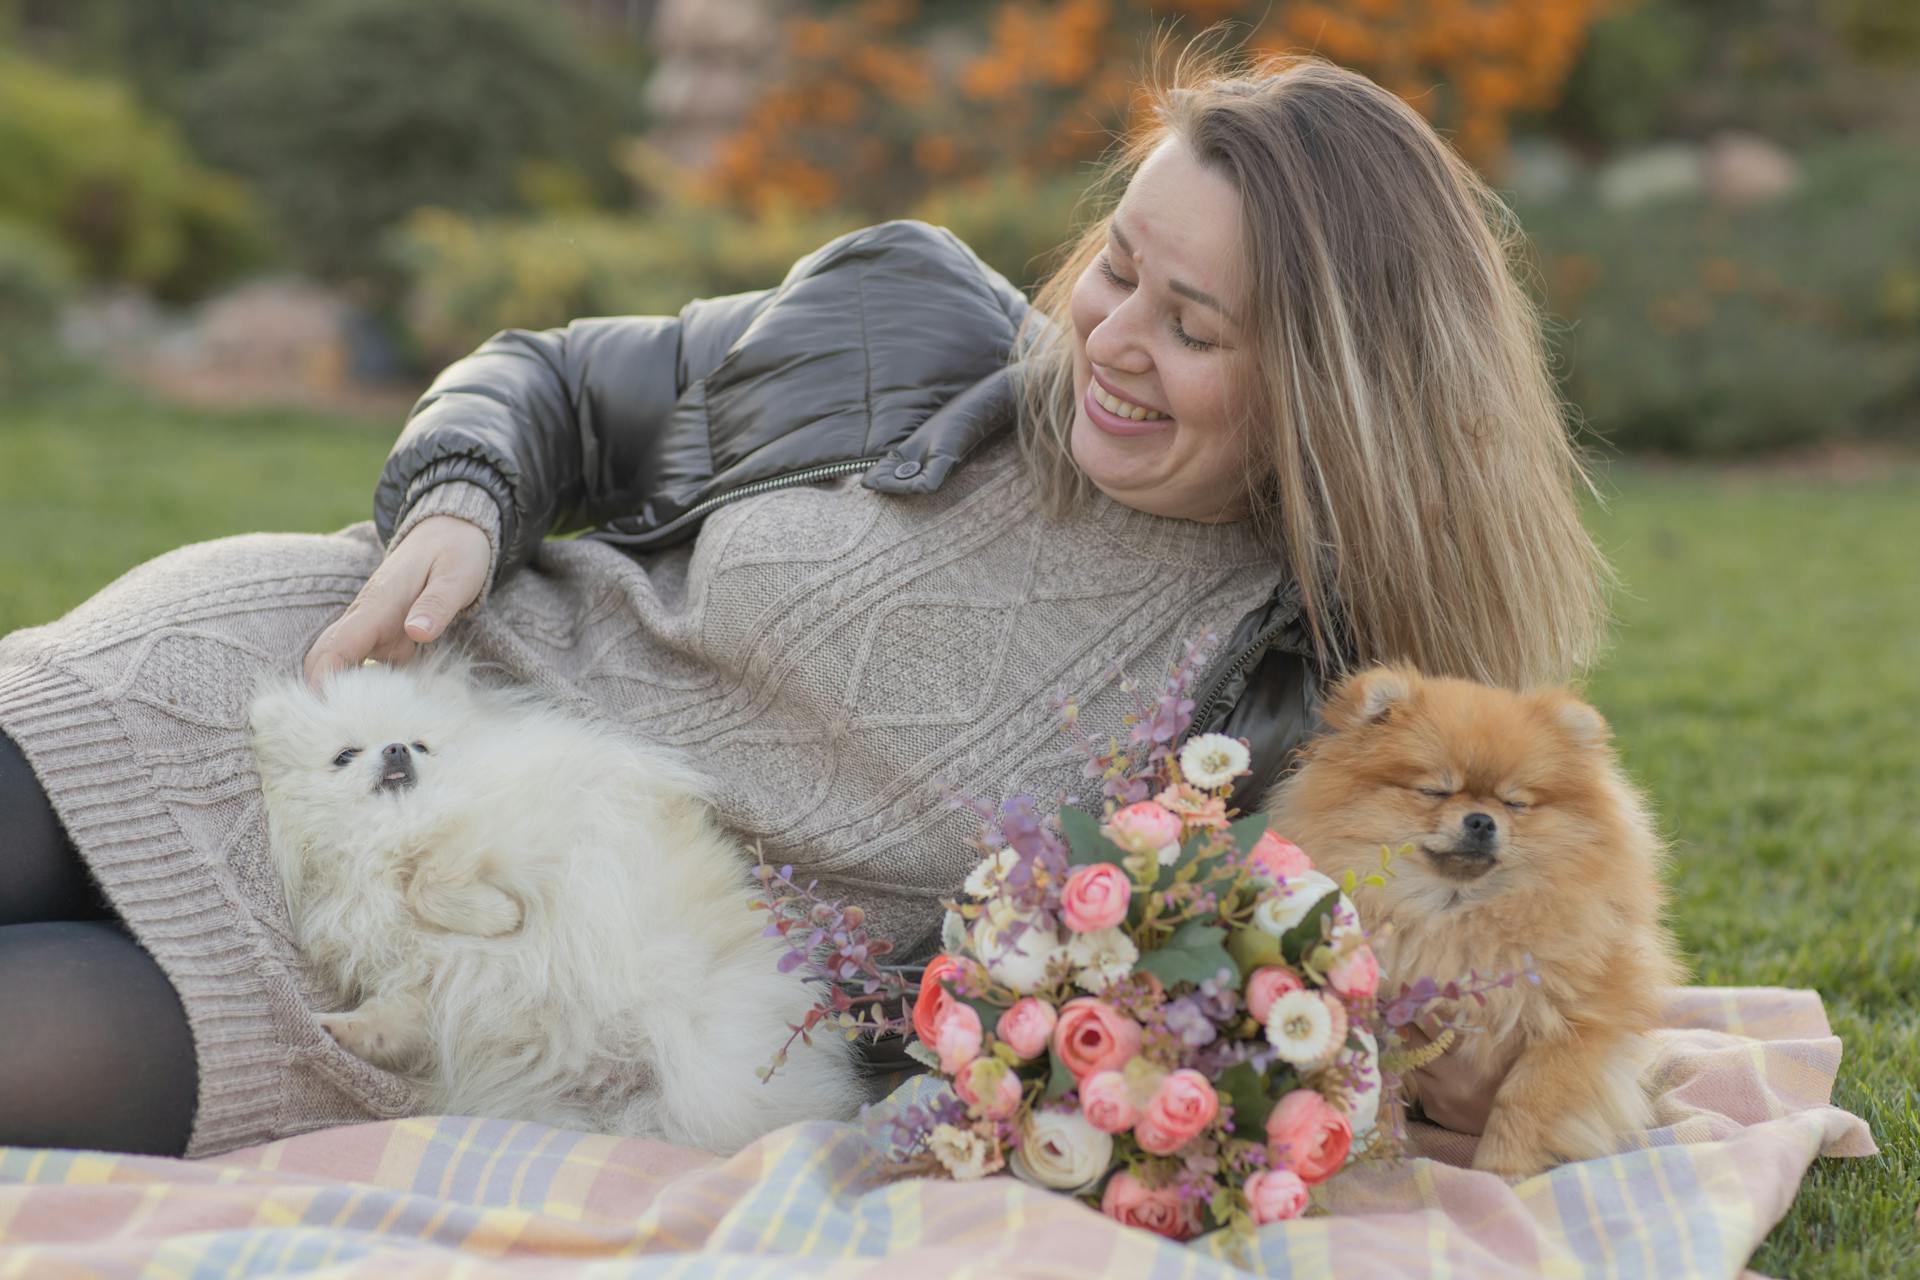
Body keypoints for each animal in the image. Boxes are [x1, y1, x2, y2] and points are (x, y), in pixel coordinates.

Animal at [245, 652, 864, 1151]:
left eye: (421, 744)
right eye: (344, 755)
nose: (397, 749)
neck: (377, 837)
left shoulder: (513, 831)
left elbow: (437, 875)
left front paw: (498, 916)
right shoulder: (415, 973)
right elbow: (396, 1014)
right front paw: (344, 1029)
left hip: (705, 1060)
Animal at [1267, 667, 1689, 1174]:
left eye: (1515, 804)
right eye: (1435, 791)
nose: (1482, 820)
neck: (1458, 914)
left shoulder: (1578, 1023)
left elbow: (1526, 1099)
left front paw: (1503, 1170)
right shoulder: (1382, 1022)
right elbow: (1380, 1093)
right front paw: (1382, 1164)